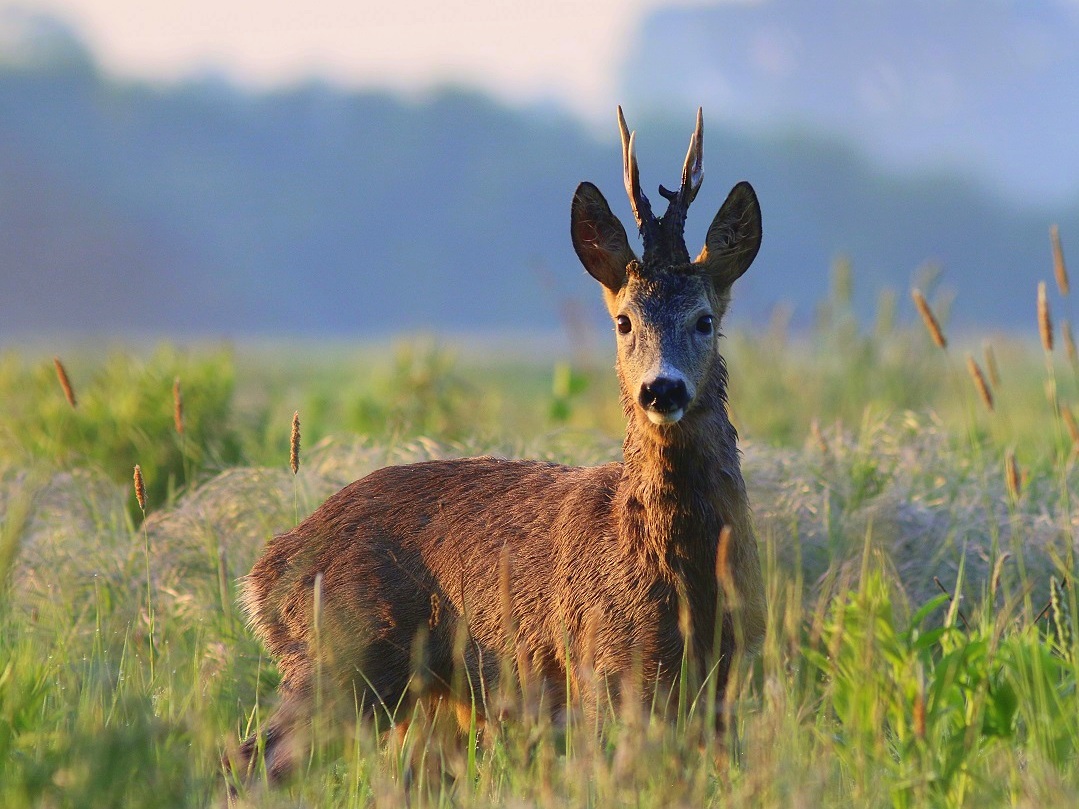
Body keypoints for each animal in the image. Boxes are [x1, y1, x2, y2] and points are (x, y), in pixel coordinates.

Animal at [234, 104, 768, 780]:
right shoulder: (606, 666)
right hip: (345, 658)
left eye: (705, 320)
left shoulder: (727, 677)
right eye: (624, 321)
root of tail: (263, 574)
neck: (682, 577)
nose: (661, 390)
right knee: (251, 757)